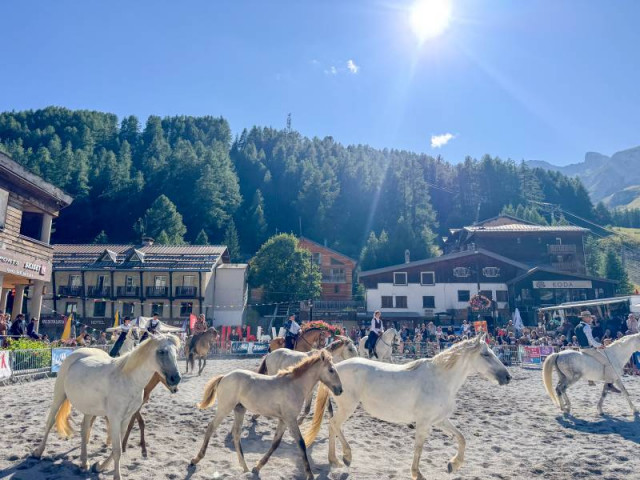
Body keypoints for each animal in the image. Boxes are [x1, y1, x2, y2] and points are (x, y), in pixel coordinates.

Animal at [31, 334, 181, 480]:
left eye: (176, 352)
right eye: (161, 351)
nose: (176, 379)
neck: (127, 379)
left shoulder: (126, 418)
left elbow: (119, 446)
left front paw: (99, 466)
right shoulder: (114, 418)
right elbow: (117, 449)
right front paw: (116, 476)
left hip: (89, 409)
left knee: (84, 428)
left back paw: (84, 462)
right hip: (59, 395)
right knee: (50, 422)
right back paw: (38, 452)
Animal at [190, 350, 343, 480]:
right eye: (331, 370)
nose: (340, 390)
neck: (294, 385)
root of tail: (224, 377)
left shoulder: (284, 420)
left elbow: (275, 443)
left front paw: (257, 468)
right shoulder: (290, 419)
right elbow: (301, 443)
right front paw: (309, 475)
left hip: (239, 410)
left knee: (236, 433)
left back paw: (245, 468)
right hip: (225, 407)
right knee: (211, 427)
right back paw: (196, 459)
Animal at [304, 334, 511, 480]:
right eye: (486, 354)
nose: (507, 377)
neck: (440, 379)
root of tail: (335, 368)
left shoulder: (440, 420)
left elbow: (461, 438)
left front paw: (453, 464)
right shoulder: (424, 423)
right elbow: (419, 447)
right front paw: (417, 473)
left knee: (332, 425)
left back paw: (334, 460)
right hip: (348, 406)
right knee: (334, 424)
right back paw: (346, 457)